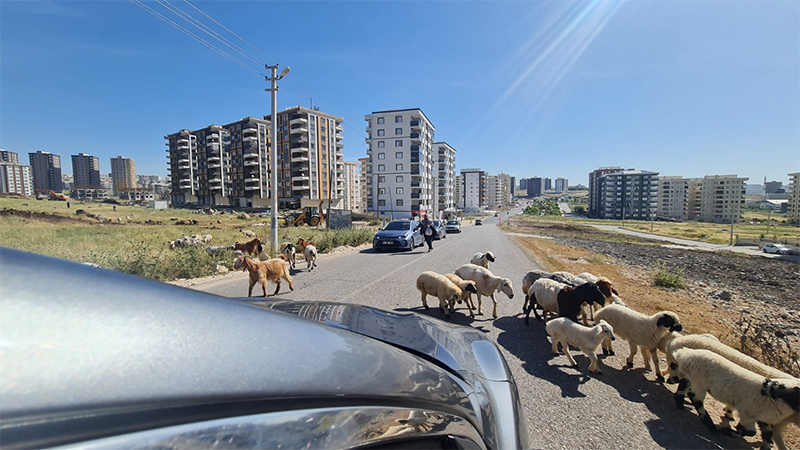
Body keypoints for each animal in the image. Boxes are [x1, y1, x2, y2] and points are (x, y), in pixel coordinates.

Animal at [668, 346, 800, 448]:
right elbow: (751, 432)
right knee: (695, 397)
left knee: (685, 384)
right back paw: (710, 425)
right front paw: (728, 431)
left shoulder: (762, 418)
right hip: (700, 381)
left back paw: (679, 403)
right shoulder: (747, 414)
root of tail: (685, 354)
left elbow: (767, 435)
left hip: (694, 378)